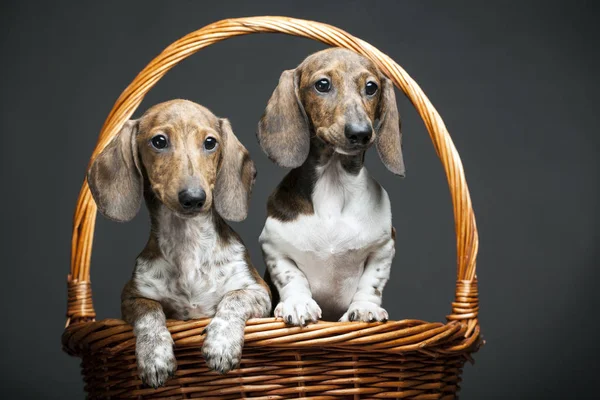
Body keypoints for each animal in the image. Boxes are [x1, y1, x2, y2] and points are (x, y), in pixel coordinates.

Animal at [86, 99, 270, 388]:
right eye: (159, 141)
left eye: (210, 142)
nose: (193, 198)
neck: (188, 245)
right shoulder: (132, 296)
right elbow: (150, 312)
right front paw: (154, 357)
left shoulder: (259, 291)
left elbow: (233, 299)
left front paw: (221, 344)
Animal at [258, 48, 404, 324]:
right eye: (322, 84)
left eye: (371, 87)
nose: (361, 132)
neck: (333, 184)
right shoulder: (274, 246)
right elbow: (291, 277)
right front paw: (298, 304)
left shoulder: (383, 247)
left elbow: (372, 282)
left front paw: (365, 308)